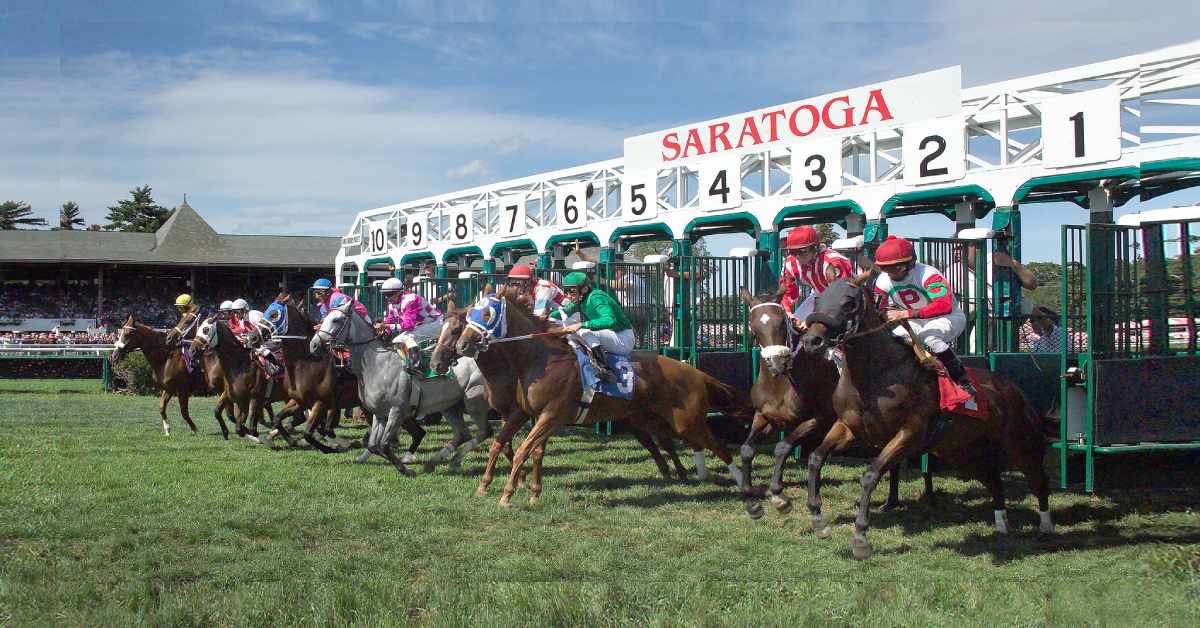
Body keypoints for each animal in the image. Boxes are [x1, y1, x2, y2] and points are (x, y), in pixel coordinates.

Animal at [110, 309, 208, 437]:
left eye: (128, 333)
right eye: (120, 333)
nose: (114, 356)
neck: (166, 358)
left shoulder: (182, 390)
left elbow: (184, 412)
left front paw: (195, 429)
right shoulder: (168, 389)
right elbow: (162, 408)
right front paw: (167, 429)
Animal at [314, 302, 496, 475]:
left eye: (337, 320)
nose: (314, 344)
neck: (377, 364)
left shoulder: (397, 410)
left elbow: (384, 444)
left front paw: (406, 470)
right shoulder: (380, 414)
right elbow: (374, 445)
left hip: (473, 401)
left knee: (485, 432)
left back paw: (451, 460)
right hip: (449, 406)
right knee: (463, 434)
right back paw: (435, 463)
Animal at [451, 286, 748, 509]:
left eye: (486, 313)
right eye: (469, 315)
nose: (462, 345)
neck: (540, 359)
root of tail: (694, 371)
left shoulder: (551, 416)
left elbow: (523, 451)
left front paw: (507, 495)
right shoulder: (526, 413)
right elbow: (508, 446)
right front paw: (519, 491)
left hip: (687, 422)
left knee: (719, 446)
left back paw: (743, 484)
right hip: (653, 419)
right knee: (677, 444)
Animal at [801, 272, 1056, 561]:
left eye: (848, 303)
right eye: (818, 299)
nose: (812, 341)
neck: (877, 373)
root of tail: (1014, 389)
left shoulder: (909, 433)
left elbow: (870, 475)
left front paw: (861, 538)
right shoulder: (848, 427)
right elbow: (815, 459)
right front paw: (818, 520)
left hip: (1021, 447)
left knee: (1039, 481)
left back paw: (1046, 527)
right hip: (966, 454)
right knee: (995, 482)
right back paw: (1002, 526)